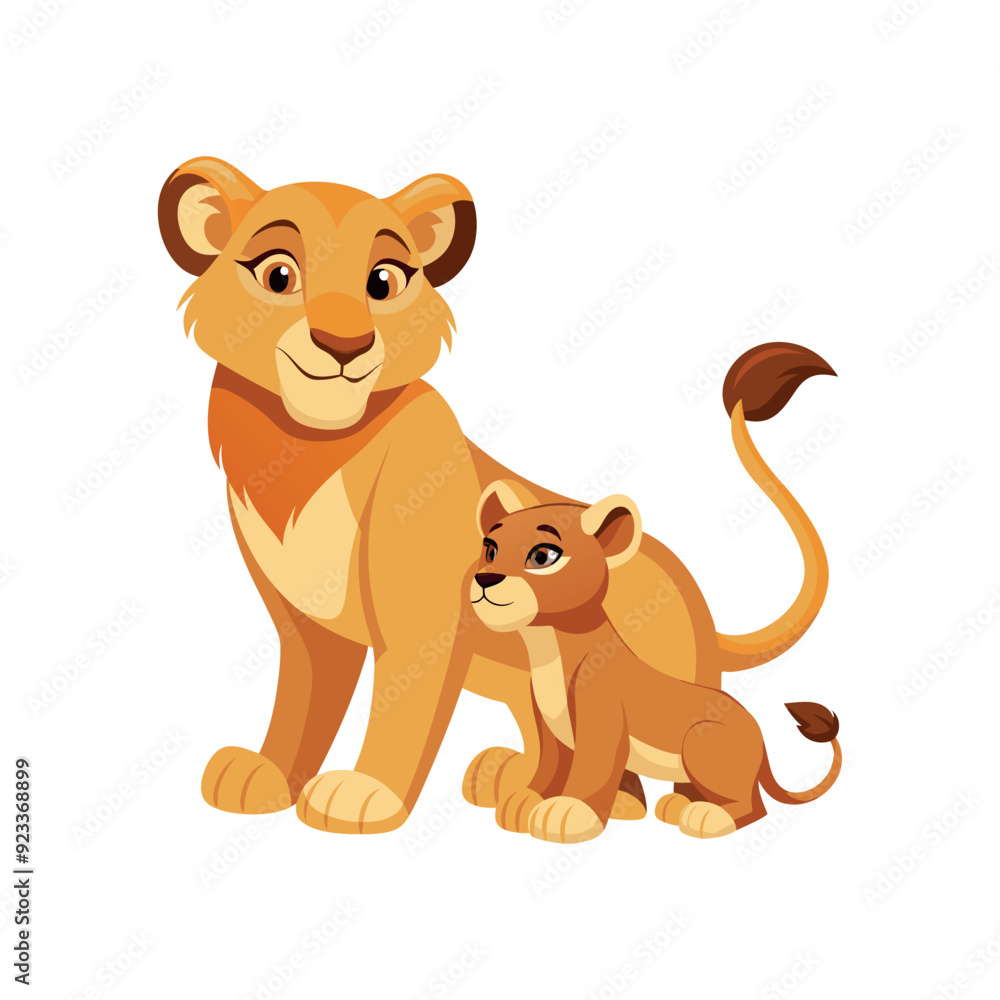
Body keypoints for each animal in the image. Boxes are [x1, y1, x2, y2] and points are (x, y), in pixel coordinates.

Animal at [467, 481, 842, 844]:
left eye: (543, 556)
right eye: (490, 550)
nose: (485, 579)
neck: (548, 652)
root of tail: (760, 739)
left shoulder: (601, 724)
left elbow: (591, 773)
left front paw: (568, 813)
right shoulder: (549, 730)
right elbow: (548, 769)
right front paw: (523, 802)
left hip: (701, 739)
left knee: (754, 807)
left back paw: (707, 817)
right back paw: (678, 805)